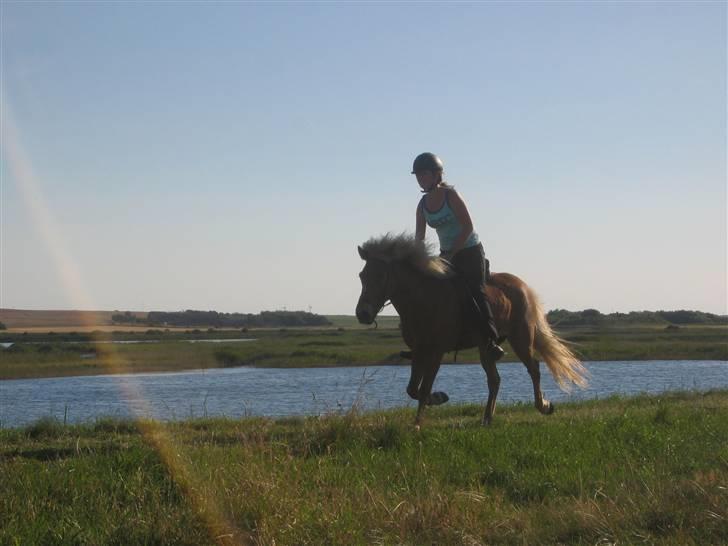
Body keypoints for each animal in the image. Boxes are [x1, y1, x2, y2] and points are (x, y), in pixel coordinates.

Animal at [356, 232, 588, 428]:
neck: (422, 299)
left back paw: (544, 406)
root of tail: (523, 286)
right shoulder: (420, 351)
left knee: (534, 368)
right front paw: (437, 399)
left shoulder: (435, 351)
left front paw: (418, 424)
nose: (362, 314)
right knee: (494, 379)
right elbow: (413, 388)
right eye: (362, 275)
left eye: (380, 276)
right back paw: (487, 418)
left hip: (520, 337)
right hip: (485, 345)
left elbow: (423, 388)